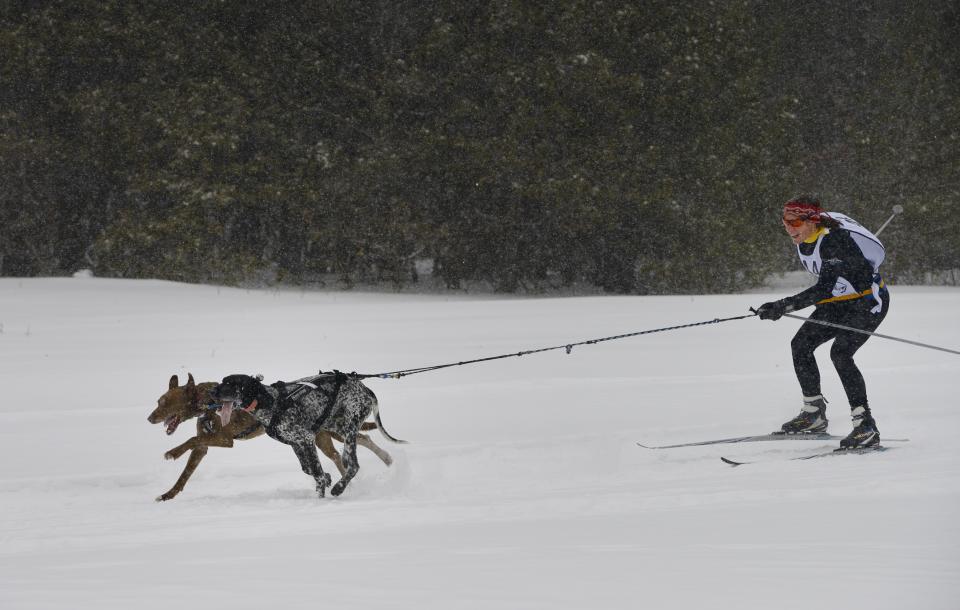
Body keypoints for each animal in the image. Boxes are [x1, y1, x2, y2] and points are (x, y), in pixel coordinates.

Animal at [210, 370, 404, 494]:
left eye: (230, 383)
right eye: (222, 380)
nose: (212, 391)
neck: (273, 402)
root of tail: (366, 390)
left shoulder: (307, 439)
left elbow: (316, 472)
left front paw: (321, 493)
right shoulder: (296, 444)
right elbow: (307, 469)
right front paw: (326, 478)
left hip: (348, 429)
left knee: (353, 464)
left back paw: (339, 488)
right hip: (337, 427)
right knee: (361, 444)